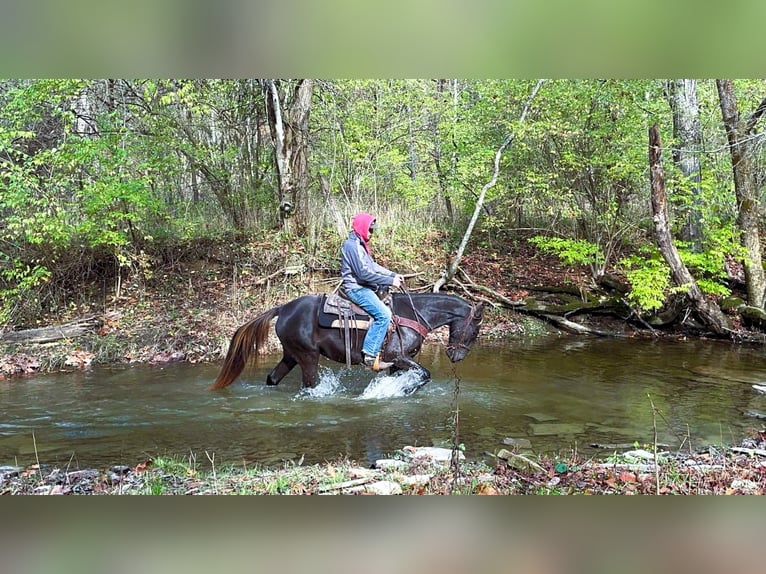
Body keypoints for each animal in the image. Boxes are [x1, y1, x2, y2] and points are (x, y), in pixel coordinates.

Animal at [210, 292, 486, 396]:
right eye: (475, 330)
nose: (456, 356)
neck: (414, 314)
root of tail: (283, 308)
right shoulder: (398, 357)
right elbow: (425, 374)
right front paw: (405, 390)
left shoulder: (398, 364)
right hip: (308, 356)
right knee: (308, 385)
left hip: (290, 355)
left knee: (273, 378)